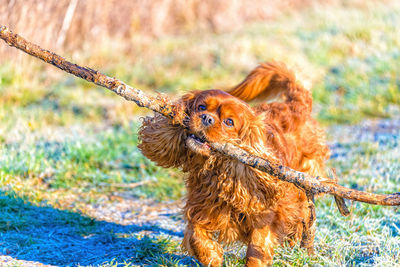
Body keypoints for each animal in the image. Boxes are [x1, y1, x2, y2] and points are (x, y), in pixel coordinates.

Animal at [139, 62, 330, 266]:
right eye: (201, 107)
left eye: (229, 122)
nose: (206, 118)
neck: (219, 170)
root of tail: (297, 105)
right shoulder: (199, 208)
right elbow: (196, 237)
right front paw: (213, 256)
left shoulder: (264, 217)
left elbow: (256, 249)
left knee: (303, 215)